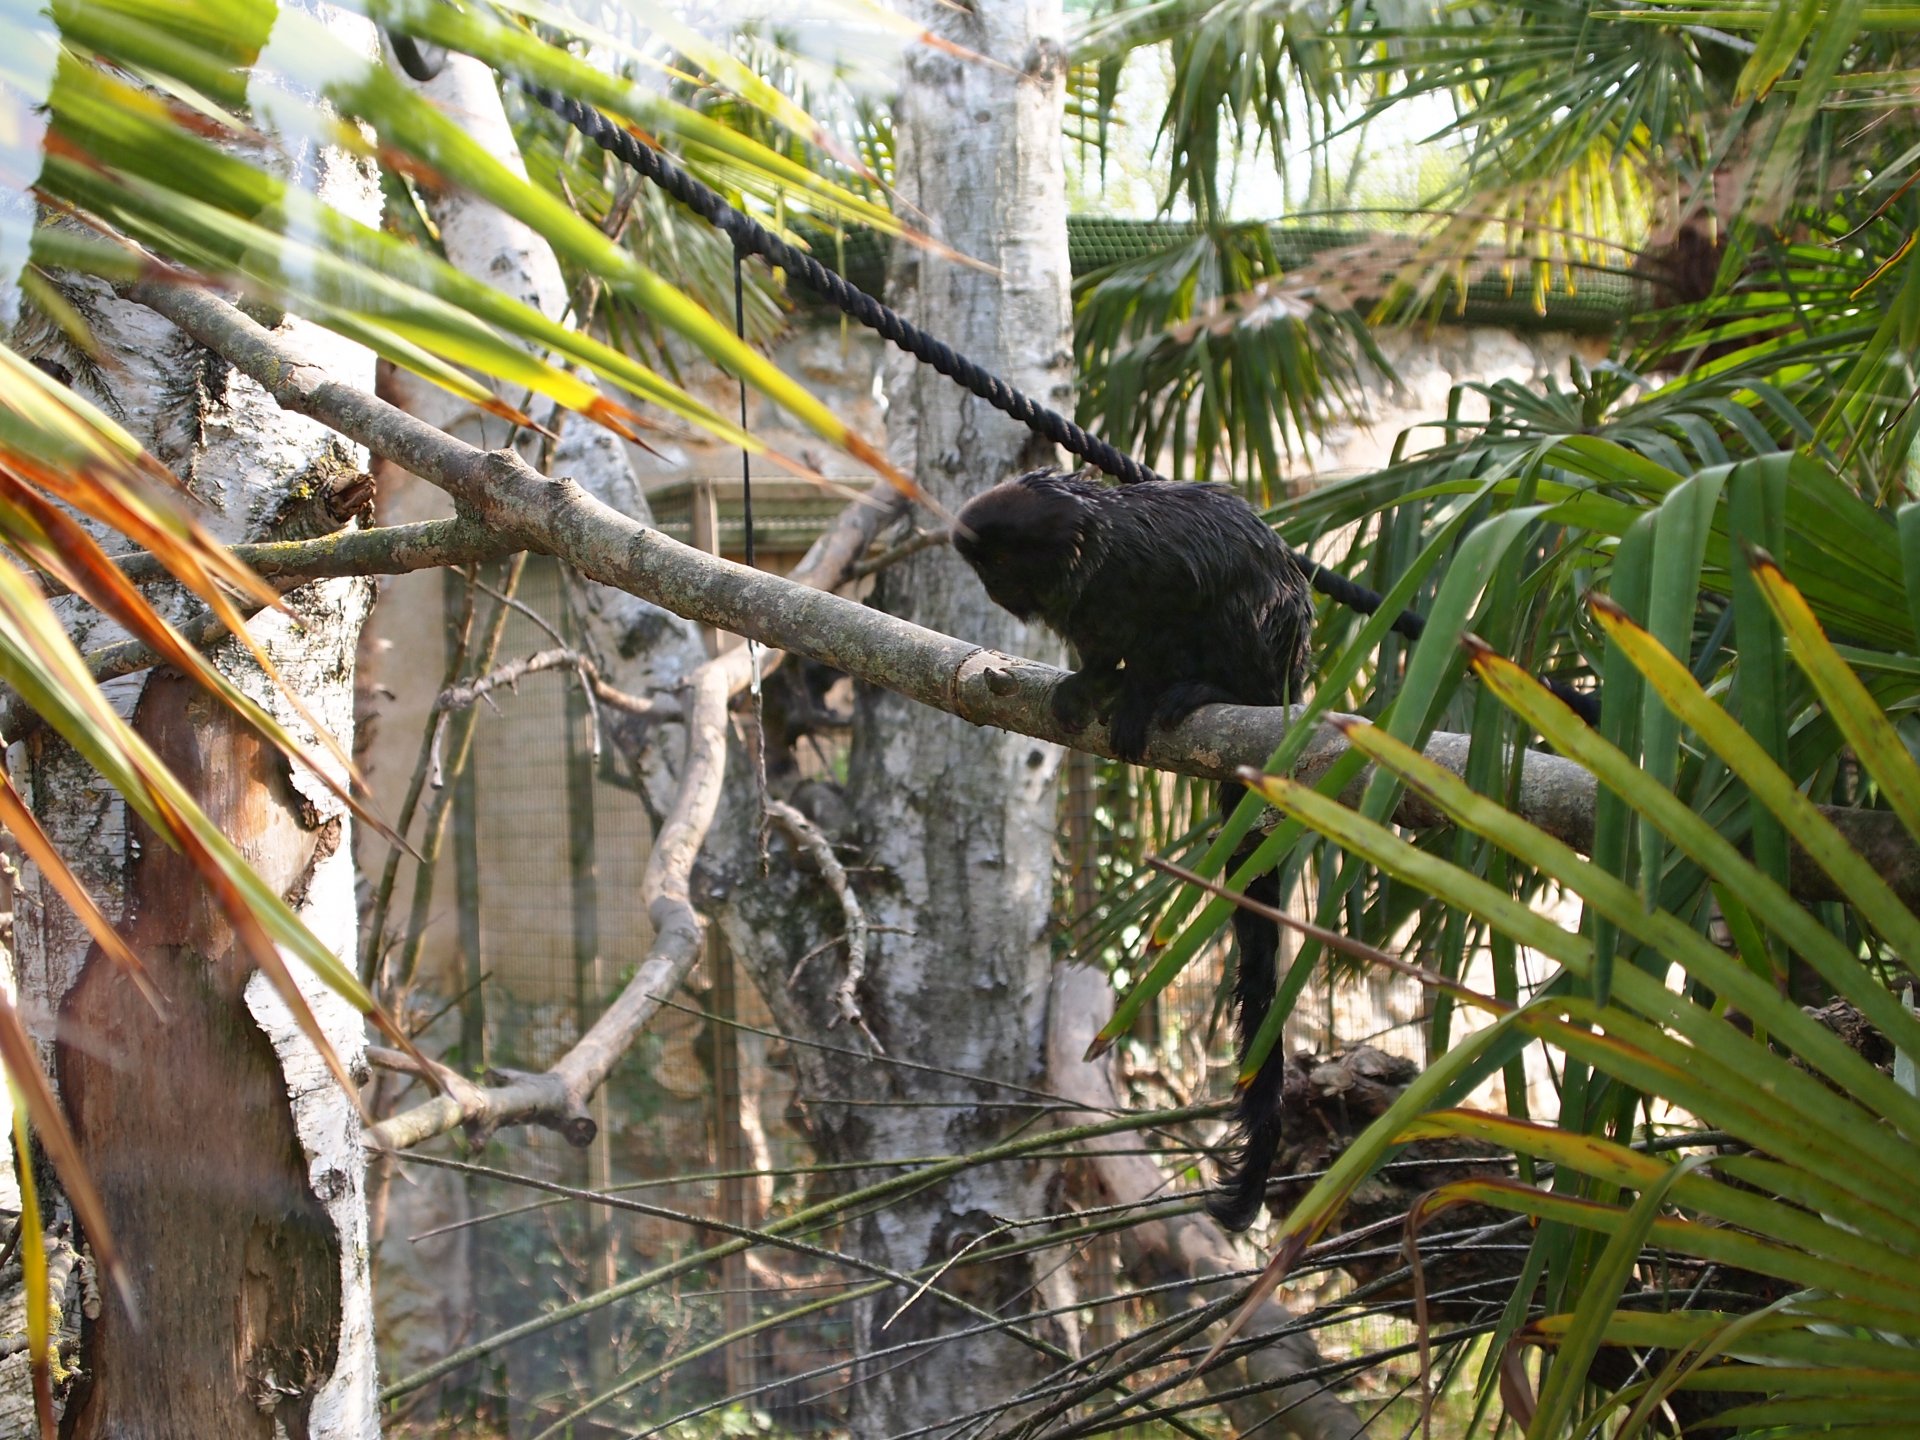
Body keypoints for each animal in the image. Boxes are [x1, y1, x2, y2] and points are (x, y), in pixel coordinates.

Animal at [952, 466, 1310, 1231]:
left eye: (1000, 565)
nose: (995, 594)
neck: (1094, 561)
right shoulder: (1088, 611)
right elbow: (1097, 650)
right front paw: (1093, 681)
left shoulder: (1151, 574)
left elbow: (1165, 627)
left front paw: (1140, 691)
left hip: (1266, 657)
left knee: (1238, 614)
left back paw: (1202, 689)